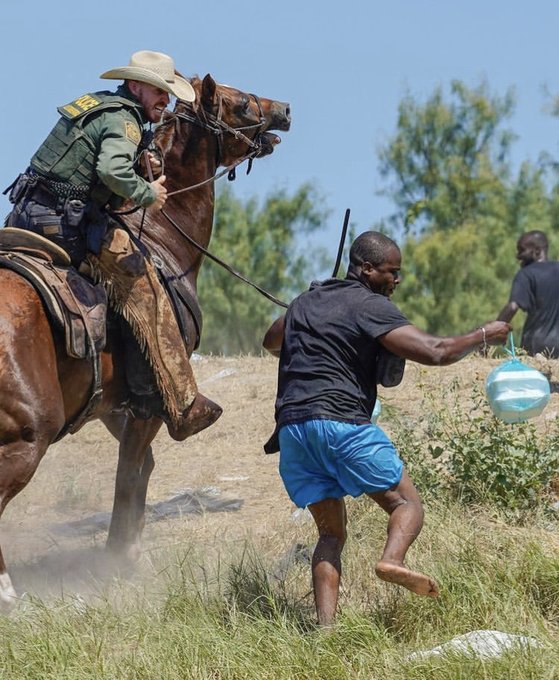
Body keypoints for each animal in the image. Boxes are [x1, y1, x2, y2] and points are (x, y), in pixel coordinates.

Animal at [0, 74, 288, 612]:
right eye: (239, 103)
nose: (283, 110)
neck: (159, 237)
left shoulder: (114, 403)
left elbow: (141, 467)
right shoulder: (152, 400)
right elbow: (130, 471)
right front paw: (121, 557)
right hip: (28, 437)